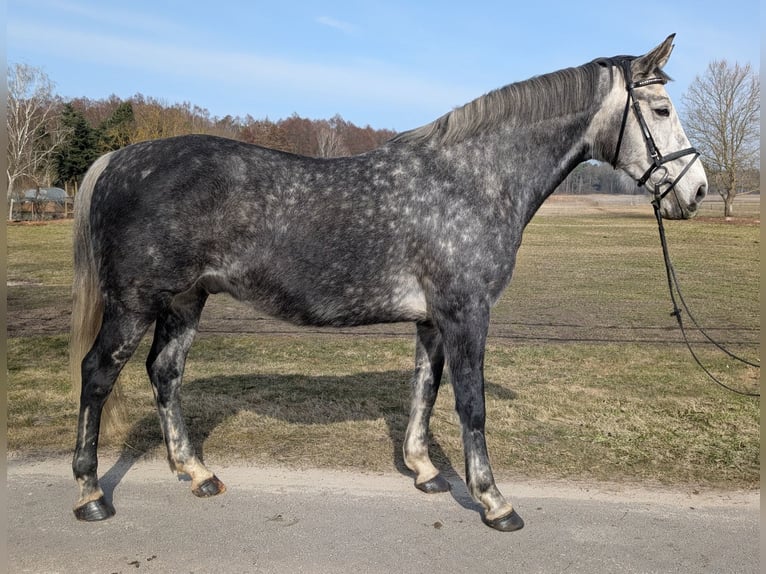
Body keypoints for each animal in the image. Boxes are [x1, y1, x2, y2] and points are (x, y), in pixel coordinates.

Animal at [70, 34, 707, 531]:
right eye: (660, 109)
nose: (697, 190)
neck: (470, 180)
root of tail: (118, 160)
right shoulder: (466, 313)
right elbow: (471, 404)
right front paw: (494, 501)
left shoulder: (432, 320)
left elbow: (424, 389)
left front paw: (424, 471)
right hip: (134, 305)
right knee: (98, 374)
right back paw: (91, 494)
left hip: (184, 301)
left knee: (164, 373)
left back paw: (196, 472)